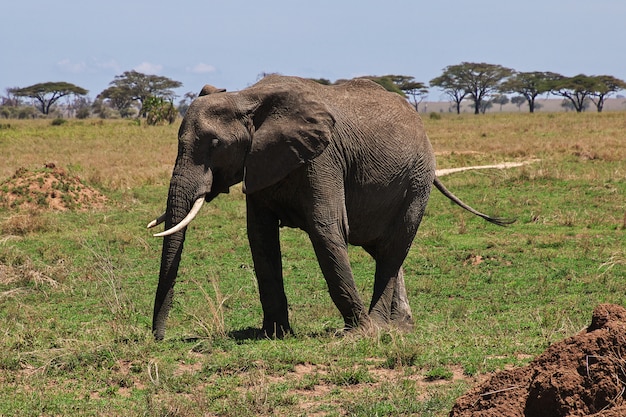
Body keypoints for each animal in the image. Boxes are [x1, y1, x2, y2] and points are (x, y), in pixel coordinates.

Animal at [147, 75, 512, 342]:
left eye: (215, 144)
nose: (159, 338)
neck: (246, 98)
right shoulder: (261, 164)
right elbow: (260, 239)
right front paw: (274, 335)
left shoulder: (323, 159)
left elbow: (326, 229)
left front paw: (357, 333)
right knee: (386, 251)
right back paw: (401, 326)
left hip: (417, 180)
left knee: (394, 247)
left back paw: (379, 327)